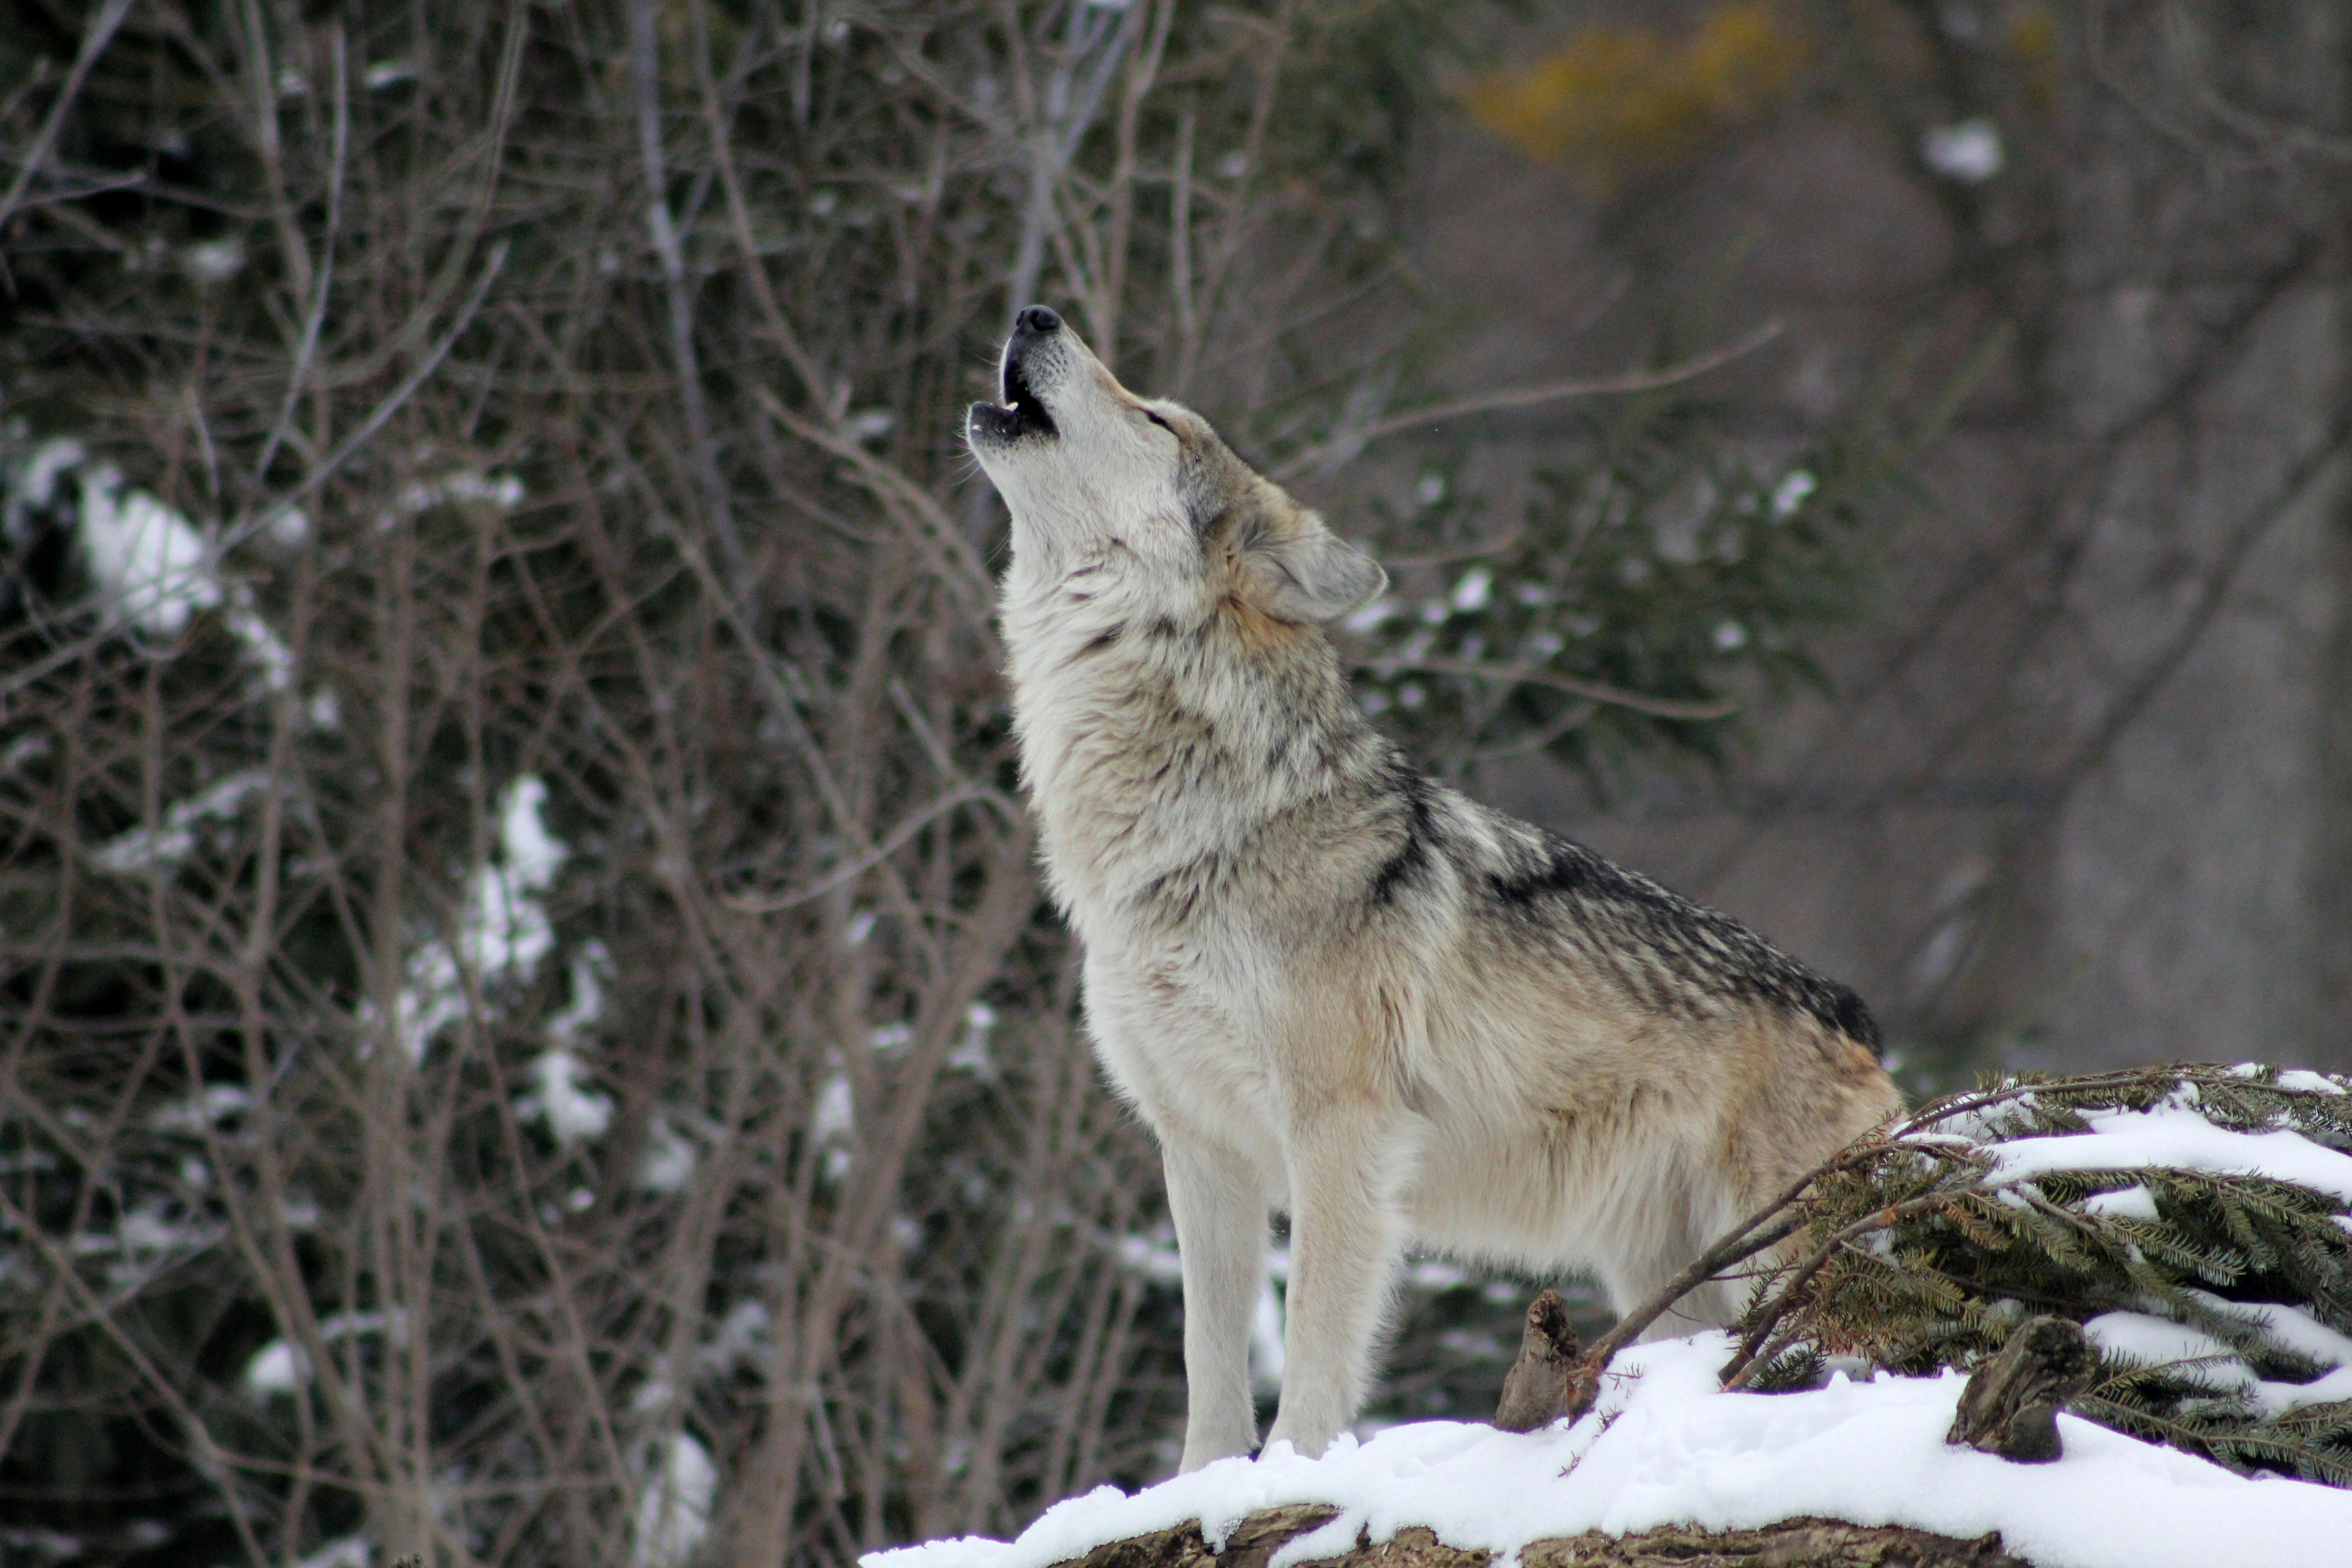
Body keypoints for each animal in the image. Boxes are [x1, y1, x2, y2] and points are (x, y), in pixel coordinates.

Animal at [964, 303, 1900, 1476]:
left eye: (1156, 417)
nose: (1033, 313)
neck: (1196, 831)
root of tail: (1855, 1014)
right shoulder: (1201, 1148)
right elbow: (1208, 1364)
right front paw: (1202, 1488)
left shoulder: (1341, 1134)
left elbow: (1314, 1341)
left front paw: (1294, 1473)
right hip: (1669, 1281)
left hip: (1777, 1256)